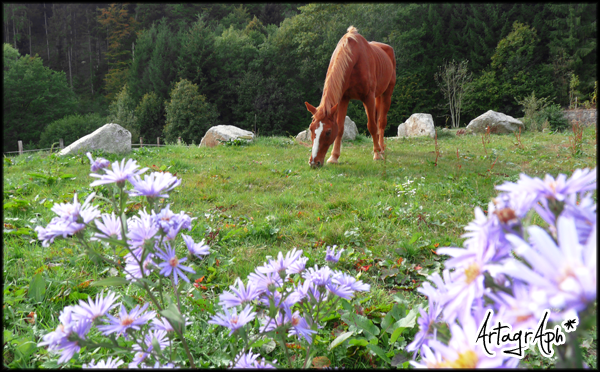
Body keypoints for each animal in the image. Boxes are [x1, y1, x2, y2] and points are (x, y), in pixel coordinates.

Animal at [308, 24, 396, 167]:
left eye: (328, 132)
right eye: (311, 129)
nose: (314, 162)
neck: (355, 58)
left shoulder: (368, 97)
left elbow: (372, 126)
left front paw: (377, 155)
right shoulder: (344, 98)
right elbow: (340, 127)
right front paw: (334, 157)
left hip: (386, 94)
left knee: (381, 122)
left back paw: (381, 150)